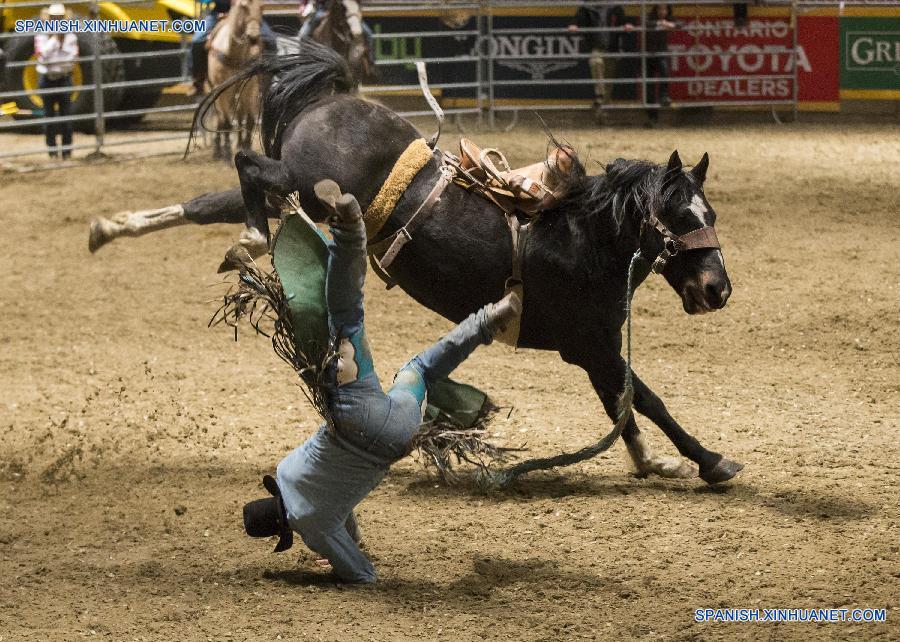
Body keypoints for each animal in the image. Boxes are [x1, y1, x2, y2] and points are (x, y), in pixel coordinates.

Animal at [204, 0, 263, 160]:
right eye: (244, 6)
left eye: (262, 7)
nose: (253, 37)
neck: (233, 53)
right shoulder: (223, 90)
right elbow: (226, 122)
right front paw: (226, 153)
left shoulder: (250, 86)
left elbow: (249, 120)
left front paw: (246, 146)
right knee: (220, 117)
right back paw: (218, 150)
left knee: (240, 115)